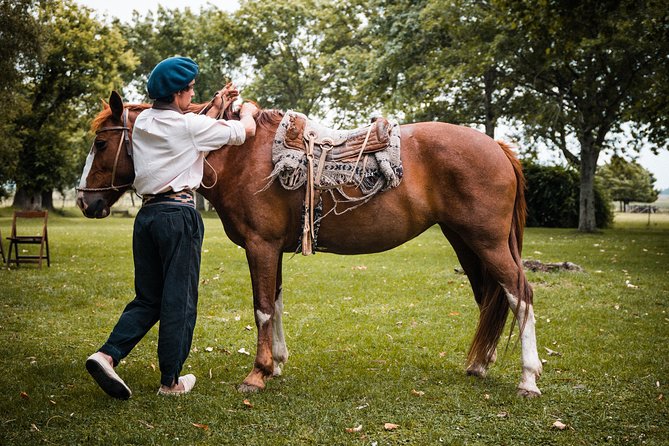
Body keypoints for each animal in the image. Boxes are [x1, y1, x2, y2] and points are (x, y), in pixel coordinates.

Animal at [75, 90, 540, 398]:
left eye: (101, 143)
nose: (84, 200)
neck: (242, 155)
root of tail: (496, 146)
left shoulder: (260, 246)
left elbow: (262, 307)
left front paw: (257, 373)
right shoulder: (271, 249)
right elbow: (276, 302)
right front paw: (277, 364)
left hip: (487, 243)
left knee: (521, 295)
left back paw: (528, 378)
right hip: (467, 243)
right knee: (490, 297)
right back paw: (480, 365)